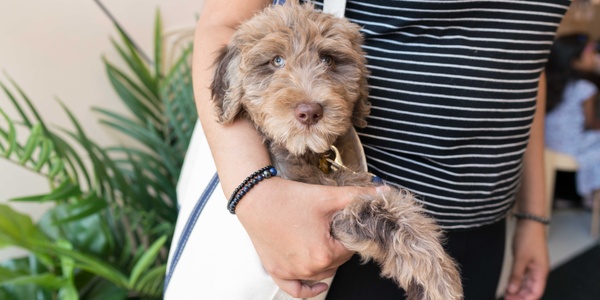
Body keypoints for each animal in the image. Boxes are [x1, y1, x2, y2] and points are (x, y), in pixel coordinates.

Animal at [211, 2, 464, 300]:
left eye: (328, 60)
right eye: (276, 61)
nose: (309, 111)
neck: (311, 155)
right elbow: (375, 208)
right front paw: (436, 276)